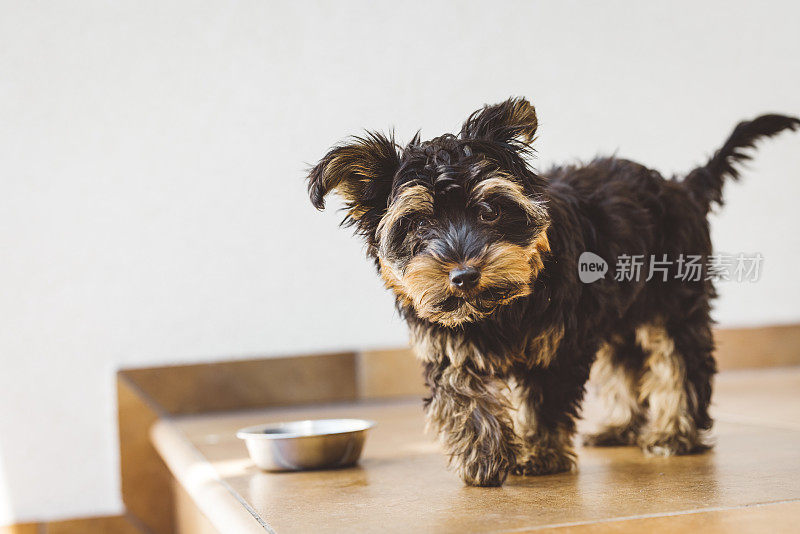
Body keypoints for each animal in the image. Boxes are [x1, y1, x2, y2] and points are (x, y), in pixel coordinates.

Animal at [304, 98, 792, 488]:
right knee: (625, 360)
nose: (463, 275)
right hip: (623, 308)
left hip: (674, 295)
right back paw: (619, 426)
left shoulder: (557, 342)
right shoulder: (446, 340)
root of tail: (681, 185)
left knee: (681, 359)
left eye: (489, 210)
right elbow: (462, 395)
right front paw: (482, 457)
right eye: (419, 223)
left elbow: (546, 400)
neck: (494, 310)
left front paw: (539, 455)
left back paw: (674, 434)